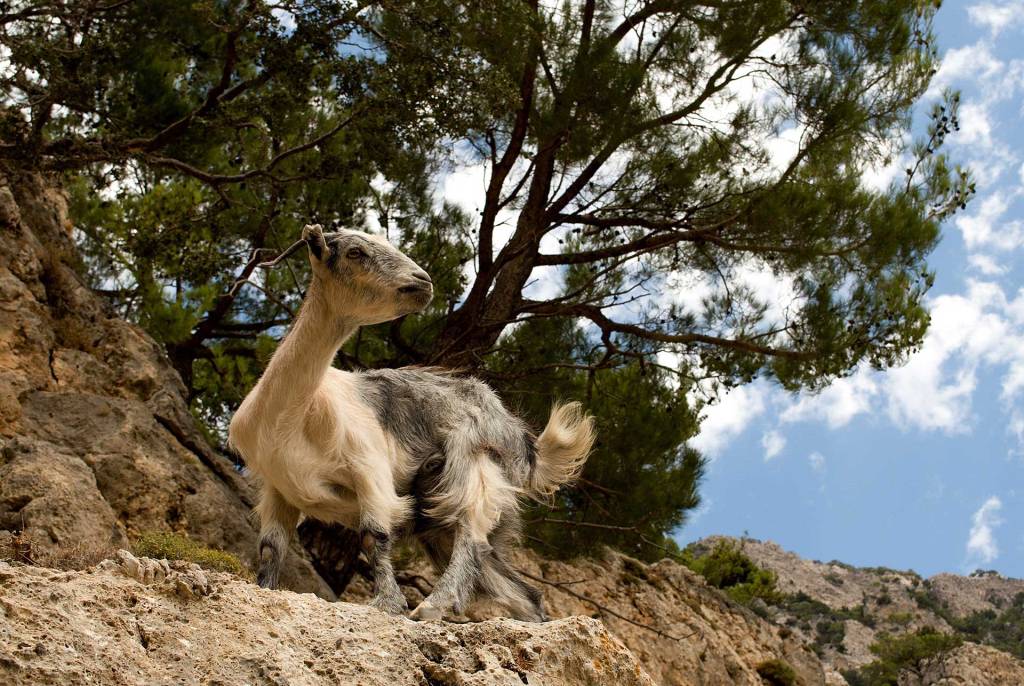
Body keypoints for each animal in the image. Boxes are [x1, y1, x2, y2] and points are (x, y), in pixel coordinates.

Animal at [228, 224, 595, 621]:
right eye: (355, 252)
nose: (423, 281)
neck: (291, 415)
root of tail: (524, 440)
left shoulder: (369, 470)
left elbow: (374, 535)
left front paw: (388, 604)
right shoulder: (278, 489)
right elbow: (270, 548)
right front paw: (264, 589)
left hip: (475, 464)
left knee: (471, 534)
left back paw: (431, 607)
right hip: (439, 526)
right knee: (519, 589)